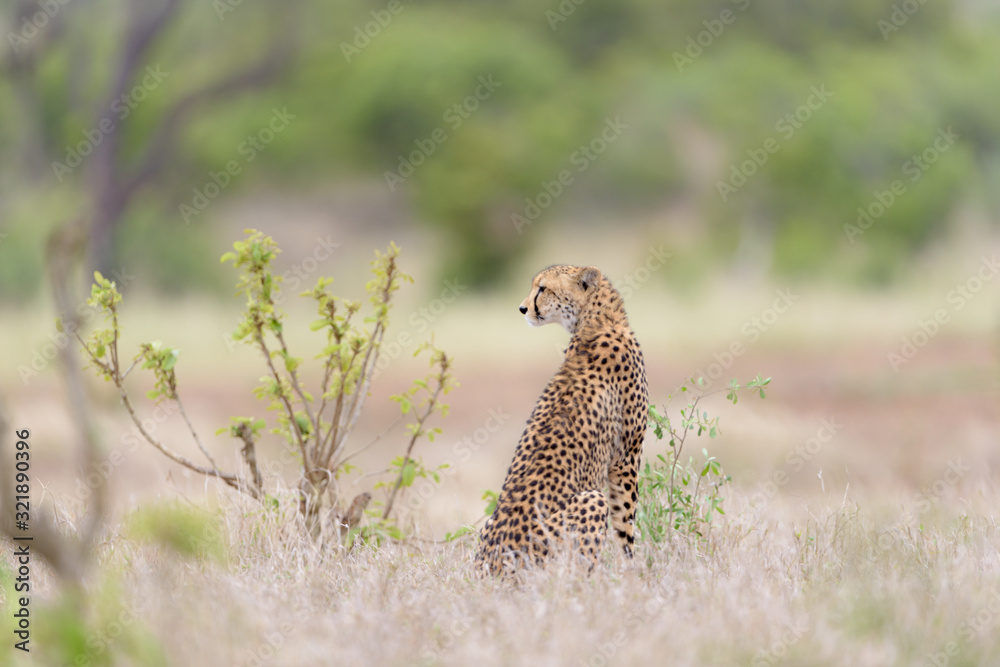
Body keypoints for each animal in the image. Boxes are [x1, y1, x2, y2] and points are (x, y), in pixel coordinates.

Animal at [475, 264, 649, 577]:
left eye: (542, 288)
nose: (522, 308)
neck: (597, 321)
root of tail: (491, 569)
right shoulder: (626, 455)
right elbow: (625, 521)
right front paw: (631, 570)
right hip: (591, 501)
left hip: (486, 525)